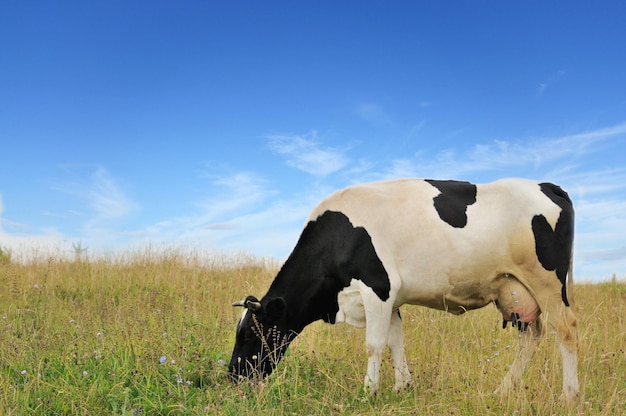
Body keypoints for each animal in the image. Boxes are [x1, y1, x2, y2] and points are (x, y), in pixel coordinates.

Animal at [227, 177, 576, 402]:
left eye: (249, 335)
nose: (232, 376)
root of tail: (547, 186)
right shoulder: (392, 299)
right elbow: (396, 342)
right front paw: (401, 387)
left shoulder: (377, 287)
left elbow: (374, 344)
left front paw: (368, 392)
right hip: (514, 290)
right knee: (531, 335)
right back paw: (503, 390)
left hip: (547, 282)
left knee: (566, 330)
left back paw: (568, 395)